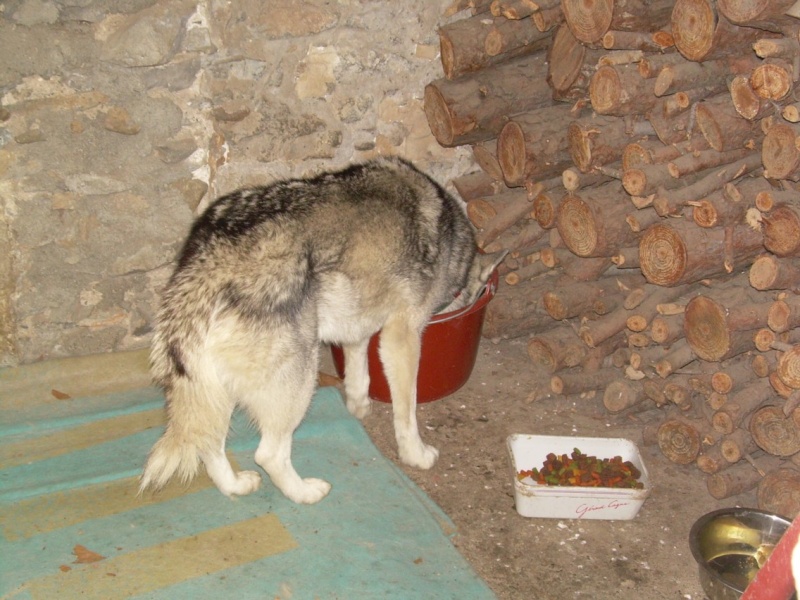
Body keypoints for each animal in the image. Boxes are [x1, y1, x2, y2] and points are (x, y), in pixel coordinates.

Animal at [138, 157, 500, 504]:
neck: (451, 239)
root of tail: (210, 263)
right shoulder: (402, 336)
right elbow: (407, 411)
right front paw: (416, 454)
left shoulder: (357, 328)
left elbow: (359, 377)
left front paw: (358, 407)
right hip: (300, 379)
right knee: (268, 455)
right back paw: (305, 493)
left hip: (215, 392)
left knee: (209, 445)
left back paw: (236, 487)